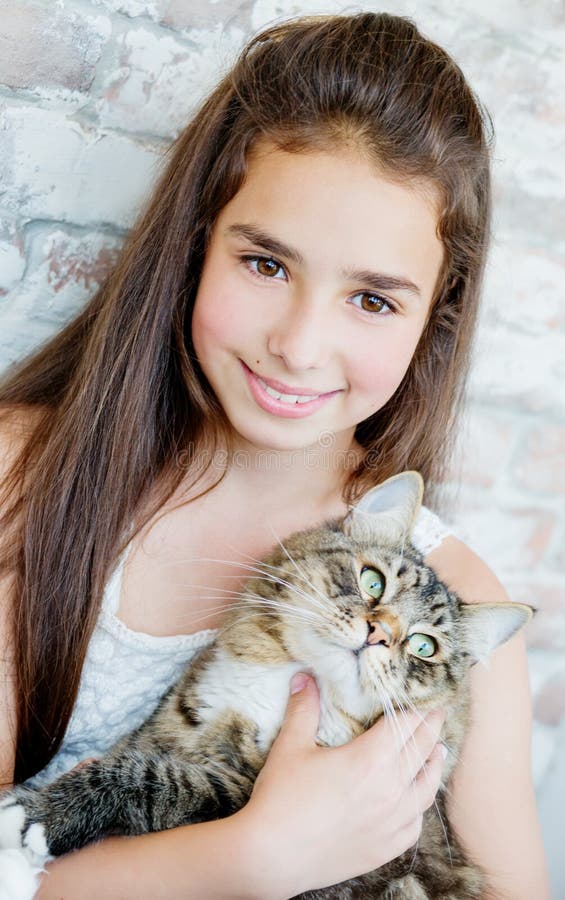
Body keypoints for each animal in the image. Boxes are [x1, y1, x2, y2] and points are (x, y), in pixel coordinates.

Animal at [0, 474, 528, 896]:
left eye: (422, 646)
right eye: (373, 582)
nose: (379, 634)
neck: (282, 680)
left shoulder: (237, 795)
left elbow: (149, 779)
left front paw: (35, 822)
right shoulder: (175, 721)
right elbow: (130, 758)